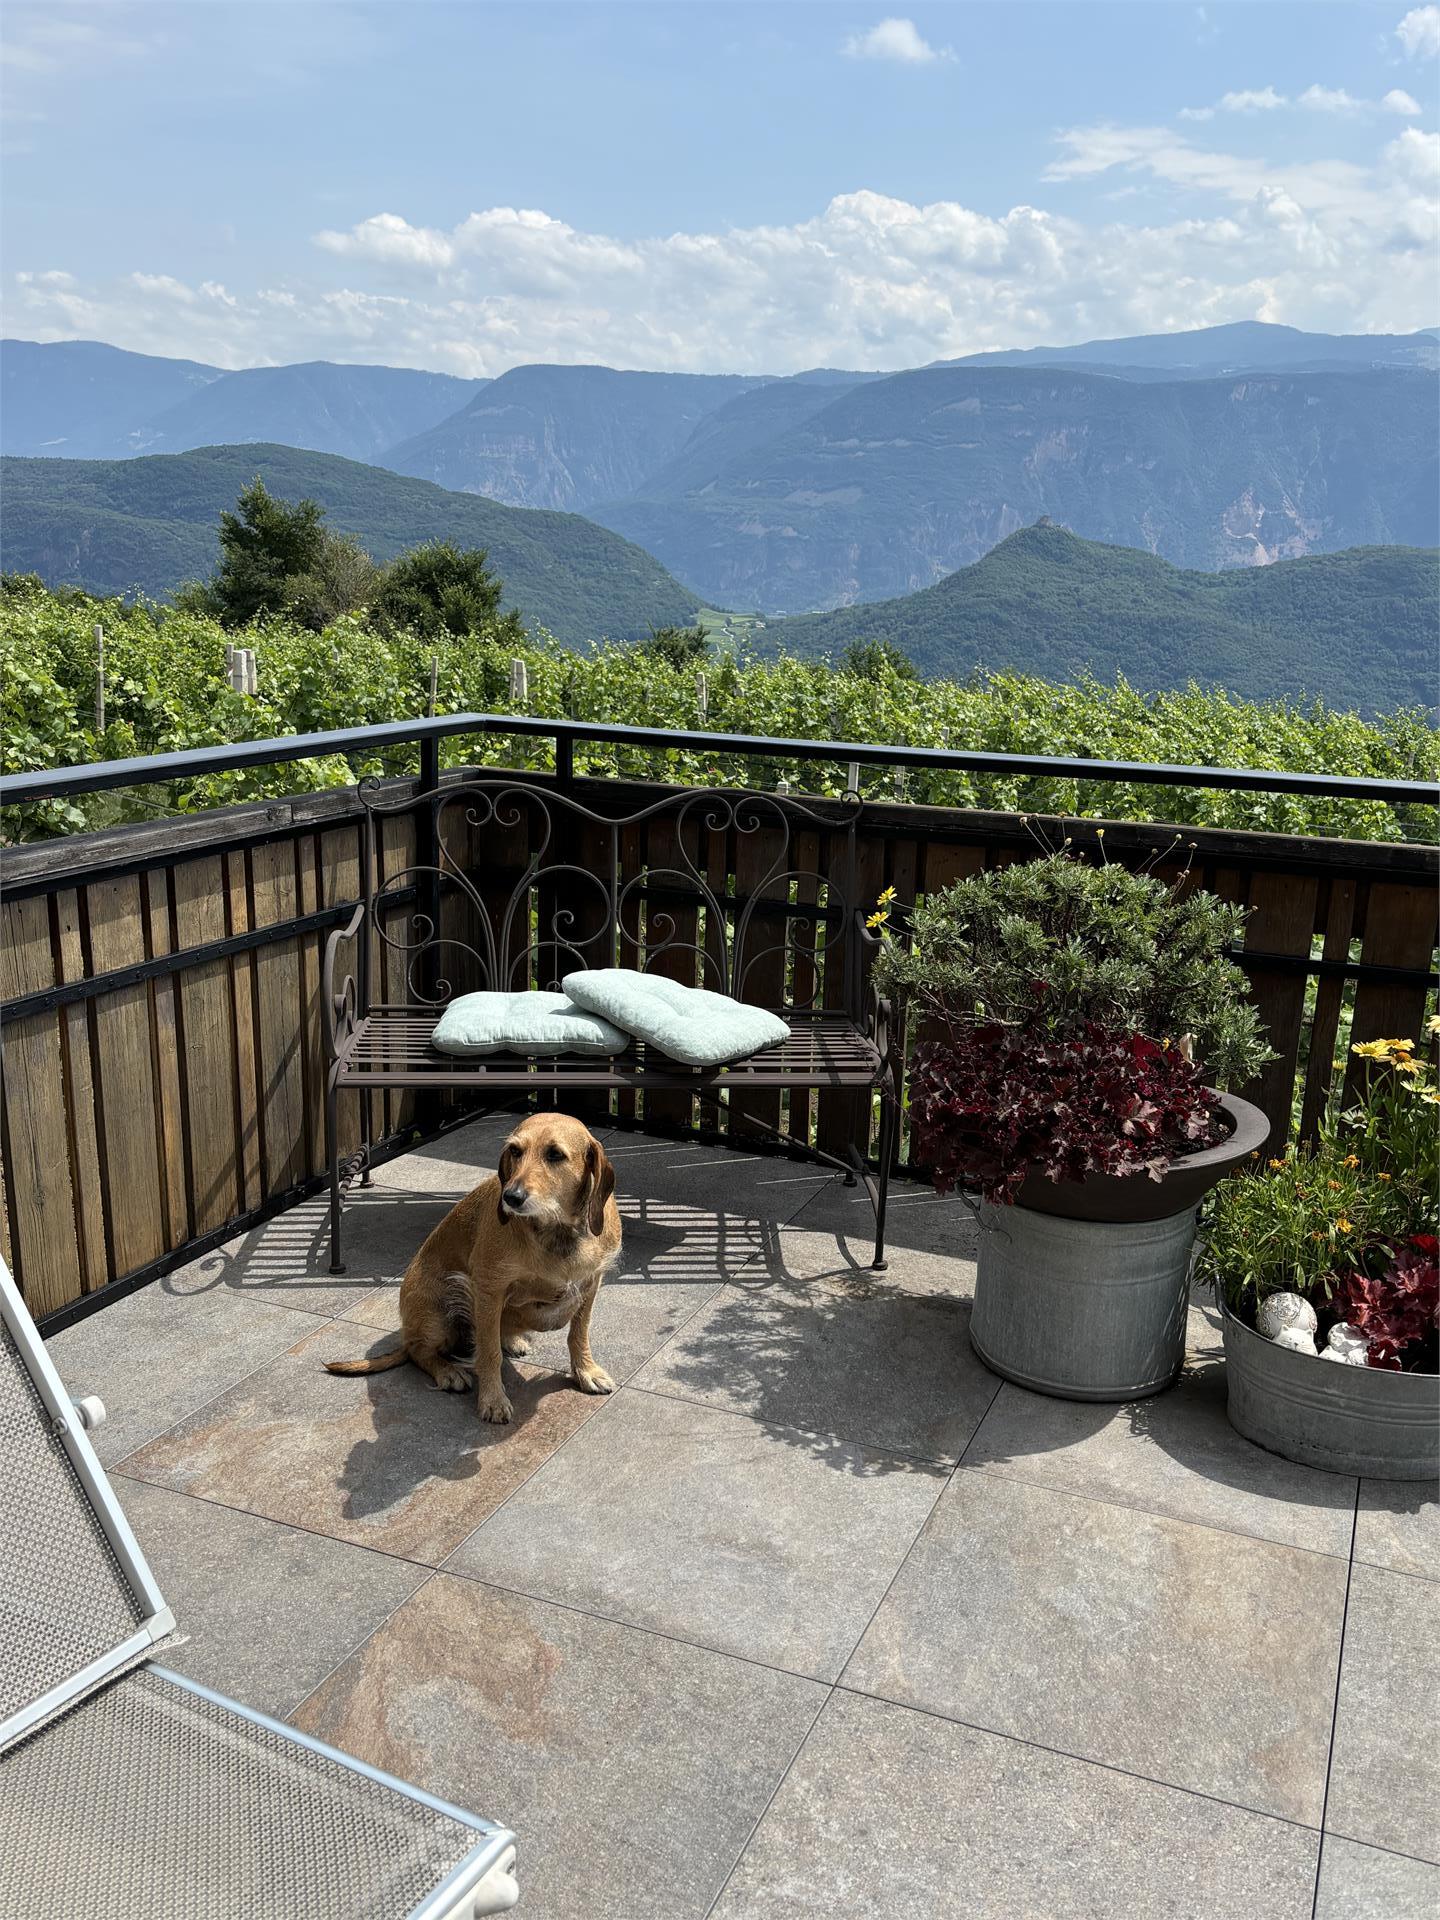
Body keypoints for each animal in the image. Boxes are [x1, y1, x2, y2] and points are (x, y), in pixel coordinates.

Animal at [326, 1113, 622, 1428]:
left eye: (555, 1154)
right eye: (515, 1151)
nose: (511, 1197)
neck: (555, 1231)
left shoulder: (591, 1283)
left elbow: (579, 1333)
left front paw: (586, 1371)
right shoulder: (489, 1290)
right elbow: (489, 1352)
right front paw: (493, 1399)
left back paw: (512, 1339)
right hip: (439, 1313)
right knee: (419, 1349)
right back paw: (447, 1371)